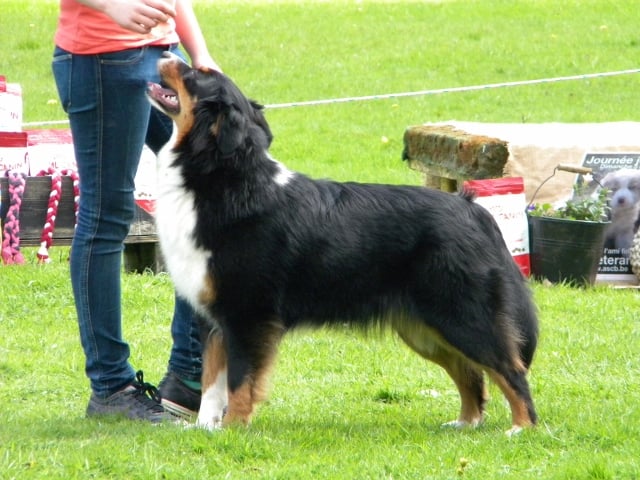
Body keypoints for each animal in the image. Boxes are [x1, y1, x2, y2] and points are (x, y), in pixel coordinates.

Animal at [148, 51, 536, 436]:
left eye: (197, 74)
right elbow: (212, 381)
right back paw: (465, 422)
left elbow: (241, 381)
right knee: (470, 373)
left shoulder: (247, 314)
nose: (165, 52)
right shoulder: (212, 315)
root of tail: (472, 208)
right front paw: (205, 429)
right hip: (424, 327)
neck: (223, 180)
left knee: (510, 369)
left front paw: (233, 429)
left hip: (462, 314)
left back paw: (522, 428)